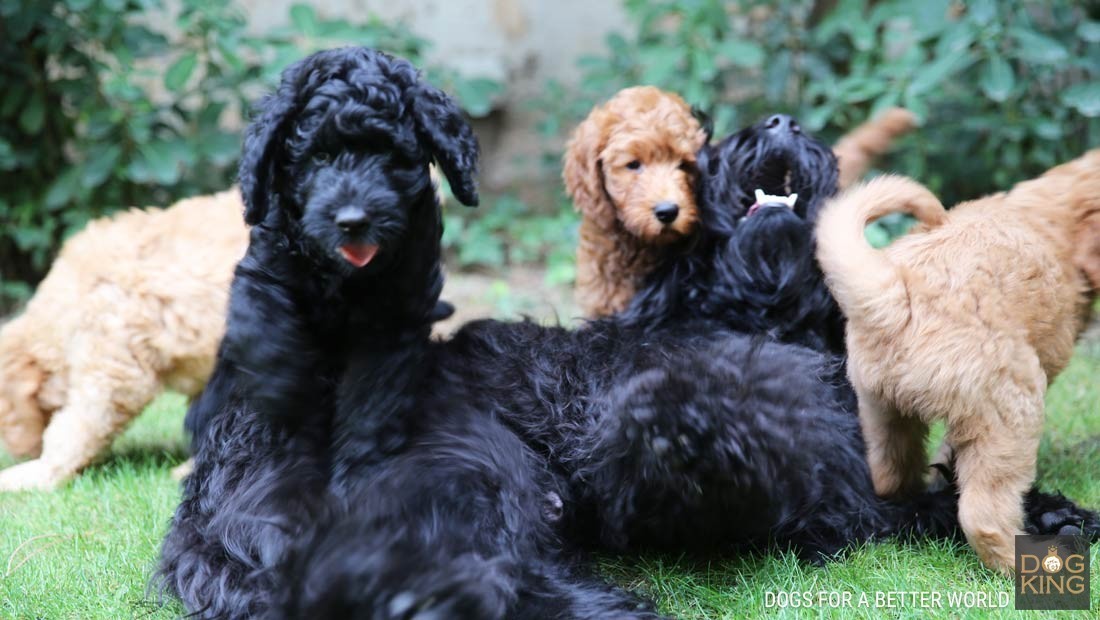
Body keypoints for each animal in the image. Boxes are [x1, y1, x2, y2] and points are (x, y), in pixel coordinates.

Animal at [162, 48, 1100, 620]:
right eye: (715, 149)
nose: (778, 125)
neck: (761, 314)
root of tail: (210, 501)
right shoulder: (806, 486)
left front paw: (1053, 513)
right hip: (475, 490)